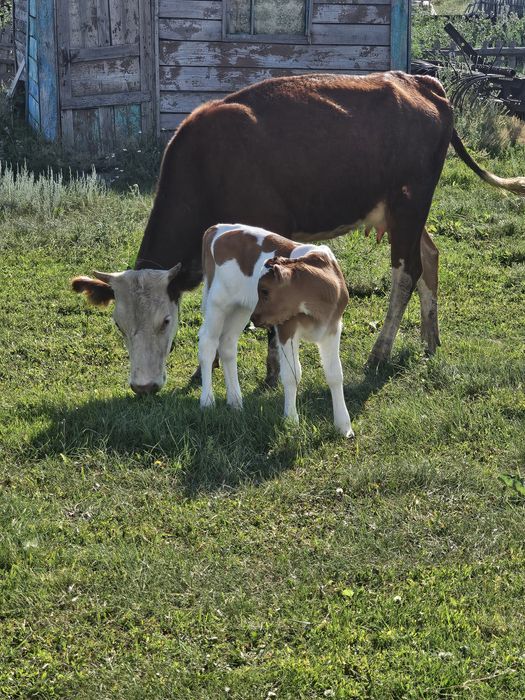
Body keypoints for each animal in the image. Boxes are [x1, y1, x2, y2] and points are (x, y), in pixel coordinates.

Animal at [72, 72, 525, 394]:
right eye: (118, 324)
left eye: (166, 321)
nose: (143, 388)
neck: (206, 163)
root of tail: (420, 82)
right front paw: (212, 365)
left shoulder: (270, 231)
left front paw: (272, 372)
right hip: (406, 212)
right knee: (429, 256)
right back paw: (430, 340)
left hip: (409, 203)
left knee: (406, 271)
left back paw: (380, 352)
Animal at [198, 224, 353, 436]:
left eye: (264, 290)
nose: (256, 318)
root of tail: (217, 228)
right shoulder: (286, 328)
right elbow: (292, 374)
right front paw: (291, 420)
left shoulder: (332, 328)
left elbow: (335, 374)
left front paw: (343, 426)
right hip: (218, 303)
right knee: (207, 342)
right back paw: (207, 401)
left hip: (240, 308)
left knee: (227, 344)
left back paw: (236, 401)